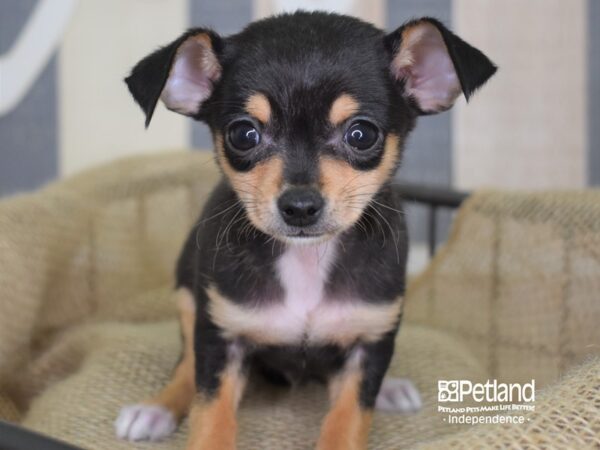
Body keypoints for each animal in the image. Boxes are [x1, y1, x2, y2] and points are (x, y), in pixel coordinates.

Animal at [115, 10, 494, 450]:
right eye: (243, 134)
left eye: (361, 134)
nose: (299, 206)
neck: (307, 261)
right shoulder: (220, 337)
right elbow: (209, 416)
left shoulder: (369, 344)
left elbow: (347, 420)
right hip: (188, 298)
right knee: (185, 367)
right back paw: (156, 409)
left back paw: (390, 388)